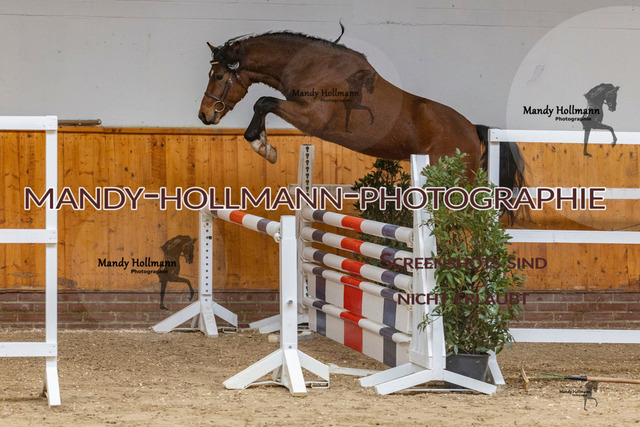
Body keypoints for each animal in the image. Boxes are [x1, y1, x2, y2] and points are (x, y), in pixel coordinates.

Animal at [198, 28, 525, 192]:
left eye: (218, 76)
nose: (205, 114)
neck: (312, 65)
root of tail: (471, 128)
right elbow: (263, 104)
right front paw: (265, 145)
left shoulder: (312, 117)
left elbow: (263, 102)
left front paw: (264, 147)